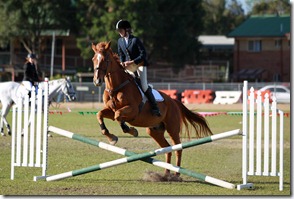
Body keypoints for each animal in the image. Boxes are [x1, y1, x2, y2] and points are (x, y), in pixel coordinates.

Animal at [90, 41, 212, 175]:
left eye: (105, 59)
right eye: (93, 59)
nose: (97, 81)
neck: (116, 87)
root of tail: (174, 101)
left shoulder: (133, 110)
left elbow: (118, 116)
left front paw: (131, 130)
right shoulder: (111, 110)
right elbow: (100, 114)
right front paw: (111, 137)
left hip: (172, 128)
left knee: (178, 148)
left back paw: (176, 174)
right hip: (154, 130)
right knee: (167, 148)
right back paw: (166, 174)